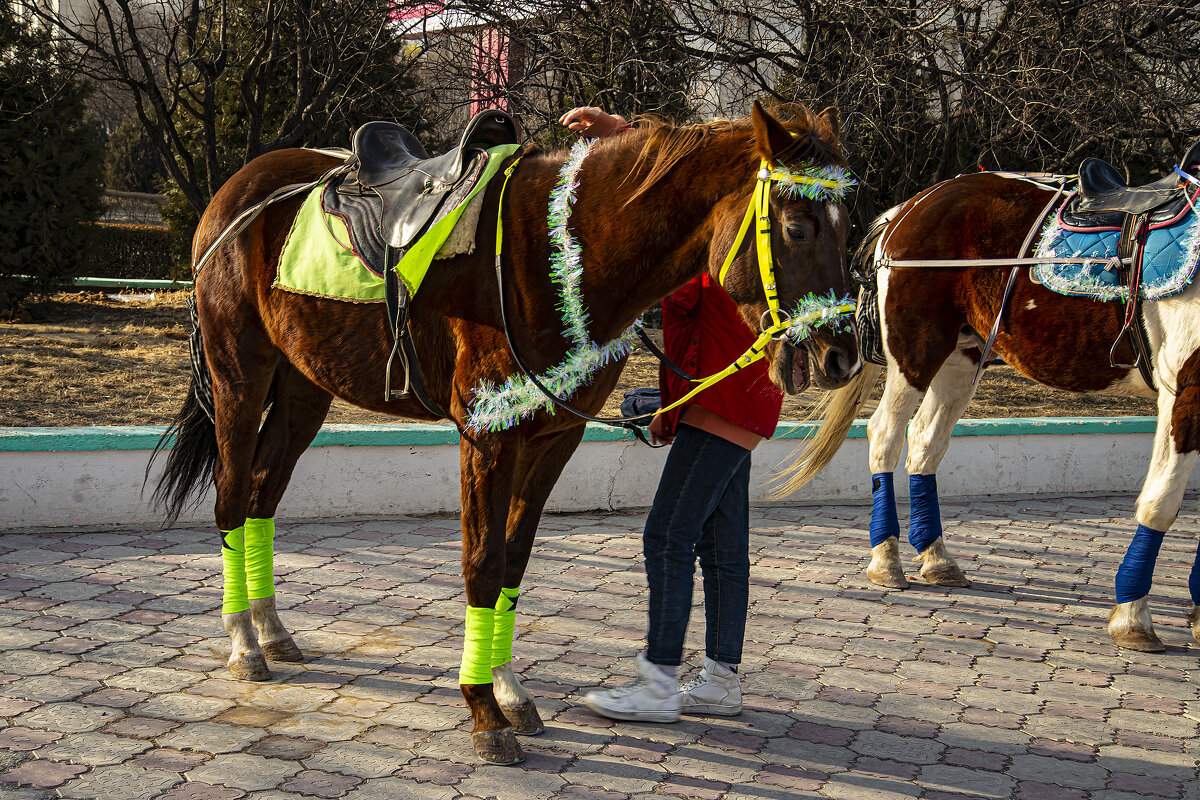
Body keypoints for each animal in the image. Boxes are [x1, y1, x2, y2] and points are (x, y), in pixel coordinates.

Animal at [152, 103, 864, 767]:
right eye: (797, 227)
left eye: (848, 228)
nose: (844, 357)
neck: (560, 253)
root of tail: (239, 192)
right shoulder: (487, 435)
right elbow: (482, 563)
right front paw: (482, 711)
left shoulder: (552, 438)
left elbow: (513, 559)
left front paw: (507, 689)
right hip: (240, 375)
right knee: (232, 495)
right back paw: (244, 641)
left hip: (304, 388)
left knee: (263, 497)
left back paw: (272, 630)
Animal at [782, 170, 1200, 657]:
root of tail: (911, 206)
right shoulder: (1185, 392)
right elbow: (1161, 502)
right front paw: (1133, 618)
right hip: (916, 352)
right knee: (886, 435)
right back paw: (886, 558)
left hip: (964, 356)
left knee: (925, 442)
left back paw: (936, 557)